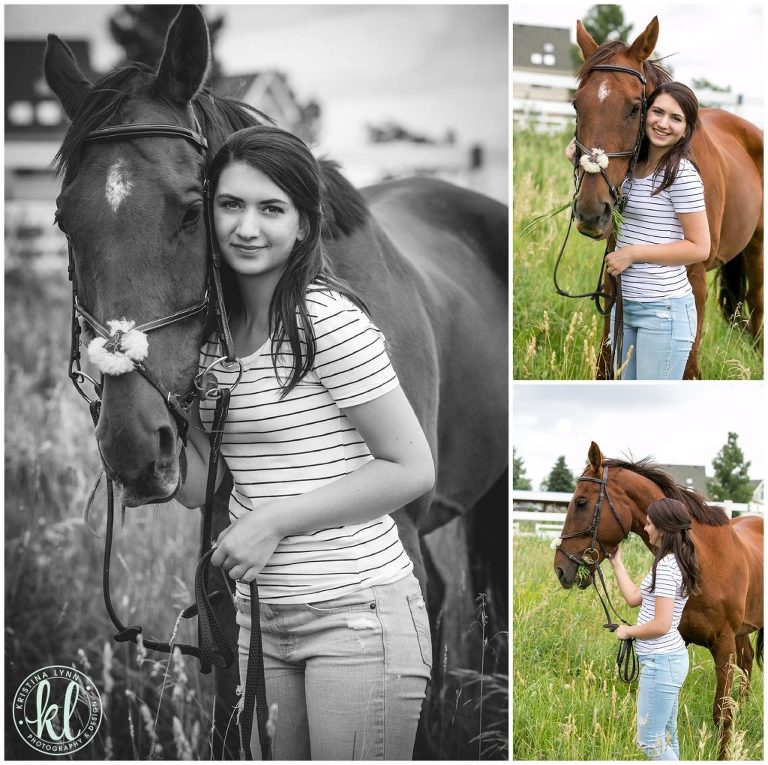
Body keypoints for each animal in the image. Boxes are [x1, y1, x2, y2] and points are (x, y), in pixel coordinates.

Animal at [554, 441, 763, 757]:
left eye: (580, 502)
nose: (560, 568)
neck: (700, 562)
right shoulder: (681, 639)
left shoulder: (724, 643)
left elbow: (721, 712)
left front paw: (724, 753)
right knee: (748, 659)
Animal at [571, 17, 763, 379]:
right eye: (577, 105)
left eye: (635, 108)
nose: (590, 212)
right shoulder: (615, 274)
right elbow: (606, 360)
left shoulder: (696, 281)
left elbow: (687, 367)